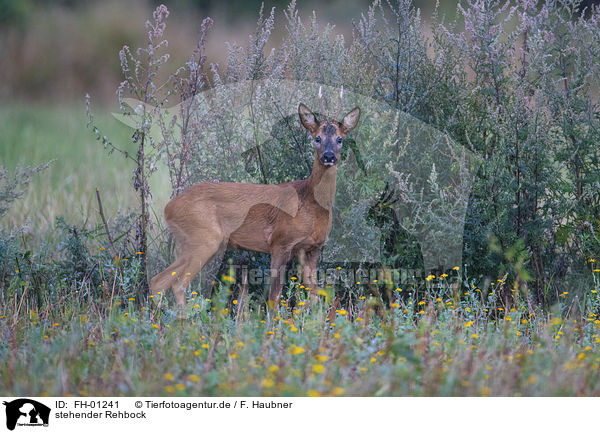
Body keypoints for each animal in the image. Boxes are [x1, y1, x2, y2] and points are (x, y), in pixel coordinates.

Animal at [151, 92, 360, 306]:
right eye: (317, 138)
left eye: (340, 139)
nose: (328, 156)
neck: (310, 202)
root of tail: (168, 208)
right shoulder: (280, 242)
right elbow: (274, 297)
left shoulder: (313, 249)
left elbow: (314, 295)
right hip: (204, 238)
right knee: (177, 284)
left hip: (189, 243)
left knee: (158, 280)